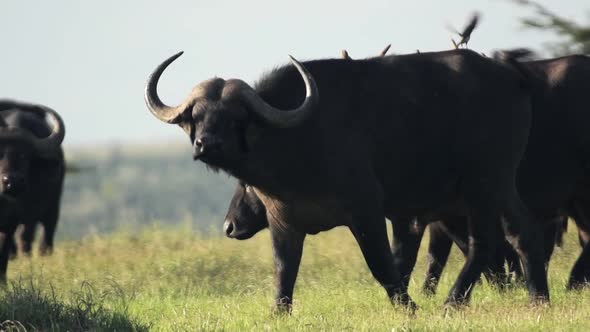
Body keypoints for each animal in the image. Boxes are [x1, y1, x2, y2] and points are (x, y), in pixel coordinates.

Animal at [147, 48, 552, 308]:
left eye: (235, 117)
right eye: (197, 116)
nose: (206, 144)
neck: (299, 141)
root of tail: (512, 77)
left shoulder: (368, 210)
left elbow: (383, 264)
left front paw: (409, 308)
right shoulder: (284, 222)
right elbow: (283, 274)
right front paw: (278, 312)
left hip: (482, 186)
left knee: (483, 243)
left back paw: (453, 302)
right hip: (502, 186)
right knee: (525, 233)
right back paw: (538, 299)